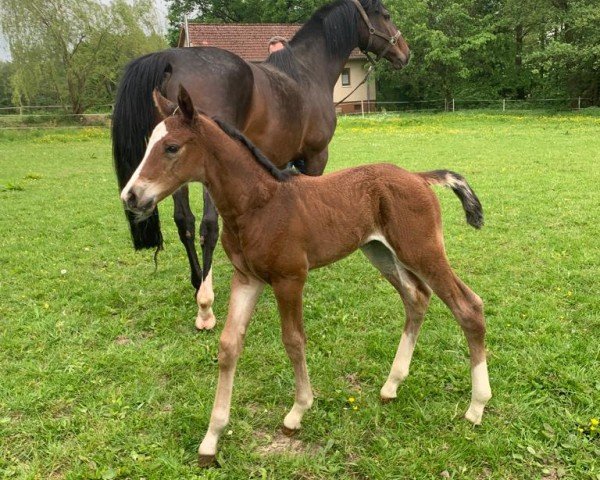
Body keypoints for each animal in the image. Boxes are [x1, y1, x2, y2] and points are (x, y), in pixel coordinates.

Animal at [112, 0, 410, 330]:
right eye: (386, 15)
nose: (405, 53)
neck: (308, 73)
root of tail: (170, 59)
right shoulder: (315, 157)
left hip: (173, 174)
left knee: (184, 222)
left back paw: (197, 281)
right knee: (207, 227)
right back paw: (206, 305)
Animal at [120, 86, 492, 464]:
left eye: (171, 147)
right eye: (149, 142)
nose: (130, 196)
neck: (258, 204)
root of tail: (419, 177)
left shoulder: (290, 278)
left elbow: (293, 340)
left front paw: (297, 412)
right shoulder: (247, 278)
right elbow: (228, 345)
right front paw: (211, 438)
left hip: (421, 250)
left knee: (468, 306)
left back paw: (476, 407)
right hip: (381, 252)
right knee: (417, 298)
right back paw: (391, 385)